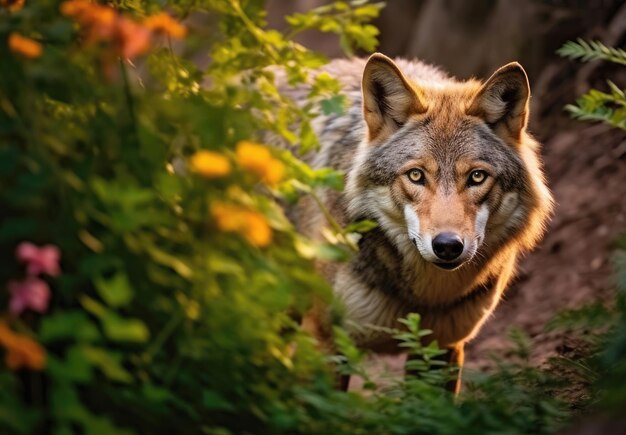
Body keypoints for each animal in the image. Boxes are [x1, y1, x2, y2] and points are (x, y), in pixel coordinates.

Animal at [288, 52, 552, 394]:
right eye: (416, 175)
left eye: (477, 177)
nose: (448, 246)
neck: (424, 296)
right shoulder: (325, 340)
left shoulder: (443, 347)